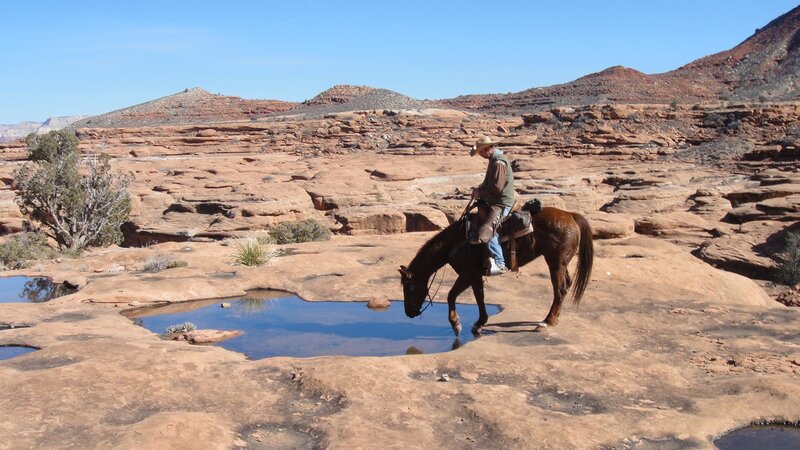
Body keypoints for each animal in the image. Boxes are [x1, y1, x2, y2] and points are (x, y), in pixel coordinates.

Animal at [399, 206, 593, 336]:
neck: (455, 242)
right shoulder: (474, 275)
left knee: (559, 289)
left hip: (555, 263)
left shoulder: (468, 273)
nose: (409, 313)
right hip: (560, 264)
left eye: (410, 287)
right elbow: (479, 296)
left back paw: (547, 322)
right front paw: (479, 323)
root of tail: (571, 215)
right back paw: (554, 318)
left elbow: (452, 295)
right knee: (566, 285)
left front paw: (456, 324)